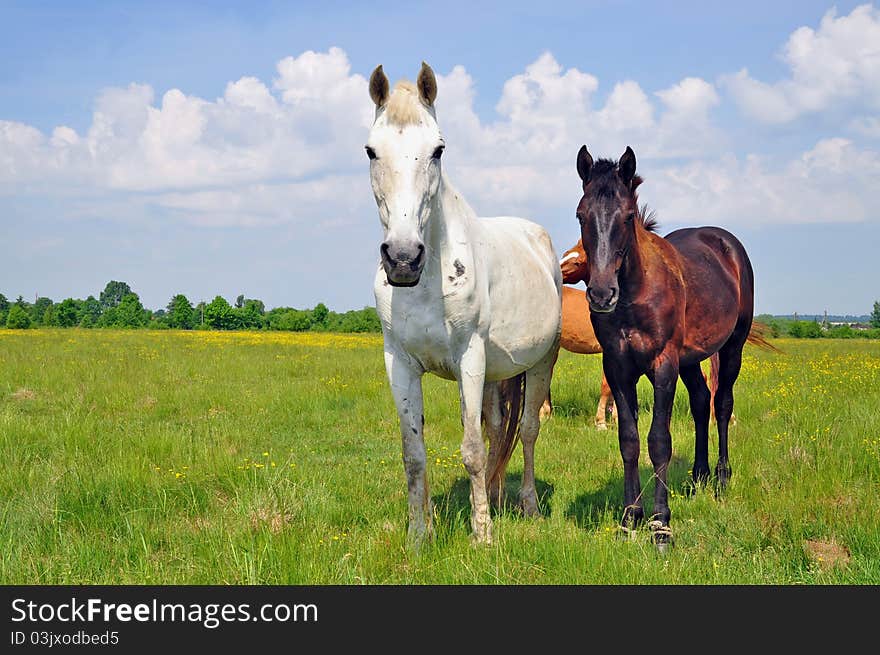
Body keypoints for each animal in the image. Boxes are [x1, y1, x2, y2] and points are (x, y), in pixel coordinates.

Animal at [366, 64, 560, 548]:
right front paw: (419, 537)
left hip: (541, 362)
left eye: (437, 150)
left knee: (527, 431)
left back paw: (527, 506)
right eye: (371, 151)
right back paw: (496, 495)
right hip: (495, 373)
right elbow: (414, 454)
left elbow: (471, 449)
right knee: (497, 429)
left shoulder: (468, 358)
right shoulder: (399, 363)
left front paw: (482, 537)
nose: (402, 258)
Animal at [576, 146, 756, 552]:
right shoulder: (618, 367)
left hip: (731, 347)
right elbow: (628, 440)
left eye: (628, 216)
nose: (601, 294)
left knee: (722, 403)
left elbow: (659, 440)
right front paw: (630, 518)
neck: (635, 293)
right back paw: (699, 475)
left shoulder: (663, 364)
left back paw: (721, 479)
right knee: (702, 402)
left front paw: (661, 525)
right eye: (581, 215)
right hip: (690, 360)